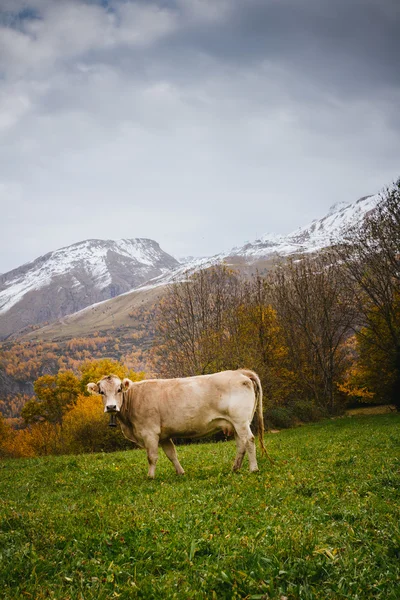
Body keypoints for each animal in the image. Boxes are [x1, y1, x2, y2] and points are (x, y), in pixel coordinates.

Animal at [88, 366, 268, 478]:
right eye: (101, 392)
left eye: (119, 389)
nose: (111, 407)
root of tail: (240, 372)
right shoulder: (164, 435)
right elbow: (171, 454)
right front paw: (181, 472)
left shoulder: (150, 433)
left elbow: (151, 456)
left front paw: (150, 477)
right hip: (236, 424)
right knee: (241, 444)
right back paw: (235, 468)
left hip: (241, 421)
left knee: (249, 440)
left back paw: (253, 468)